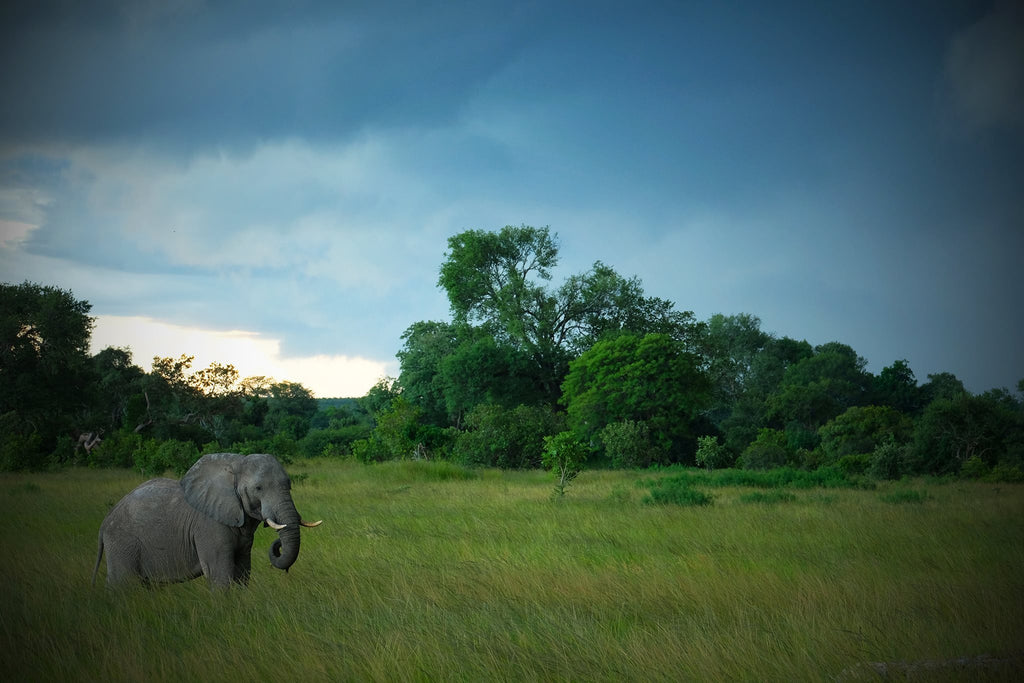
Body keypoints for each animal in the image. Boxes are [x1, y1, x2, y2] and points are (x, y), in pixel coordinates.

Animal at [93, 452, 321, 589]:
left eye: (289, 485)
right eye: (258, 488)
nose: (278, 544)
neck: (235, 467)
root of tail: (104, 523)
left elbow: (242, 572)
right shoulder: (209, 526)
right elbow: (220, 573)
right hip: (123, 542)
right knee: (123, 583)